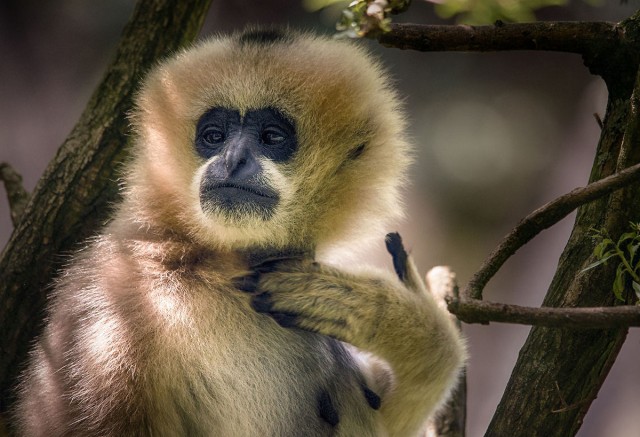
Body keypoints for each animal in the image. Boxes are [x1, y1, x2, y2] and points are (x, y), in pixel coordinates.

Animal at [14, 28, 466, 436]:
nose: (232, 159)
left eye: (271, 137)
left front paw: (388, 318)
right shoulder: (113, 309)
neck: (213, 263)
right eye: (213, 136)